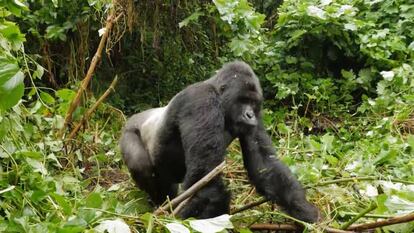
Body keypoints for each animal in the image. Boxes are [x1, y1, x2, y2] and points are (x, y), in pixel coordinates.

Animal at [118, 61, 318, 221]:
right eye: (243, 99)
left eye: (253, 102)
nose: (250, 115)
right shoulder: (202, 100)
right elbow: (206, 177)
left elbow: (265, 164)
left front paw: (303, 209)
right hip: (129, 131)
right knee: (140, 165)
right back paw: (157, 204)